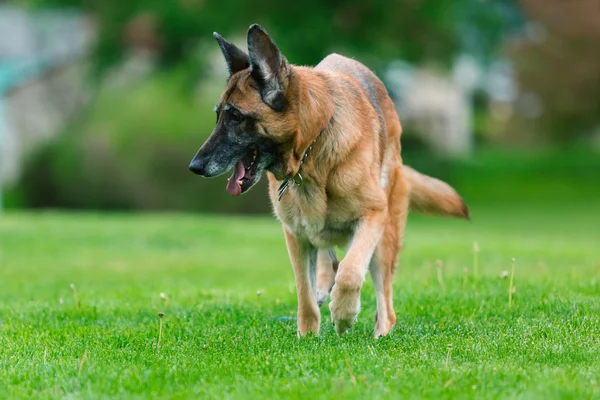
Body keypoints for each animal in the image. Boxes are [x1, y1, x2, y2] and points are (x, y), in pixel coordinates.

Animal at [190, 24, 472, 338]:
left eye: (236, 117)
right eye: (218, 116)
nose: (195, 166)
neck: (312, 151)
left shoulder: (373, 215)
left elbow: (351, 272)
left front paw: (344, 314)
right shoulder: (296, 235)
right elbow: (305, 294)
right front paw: (308, 336)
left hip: (385, 238)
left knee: (384, 302)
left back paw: (379, 333)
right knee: (329, 258)